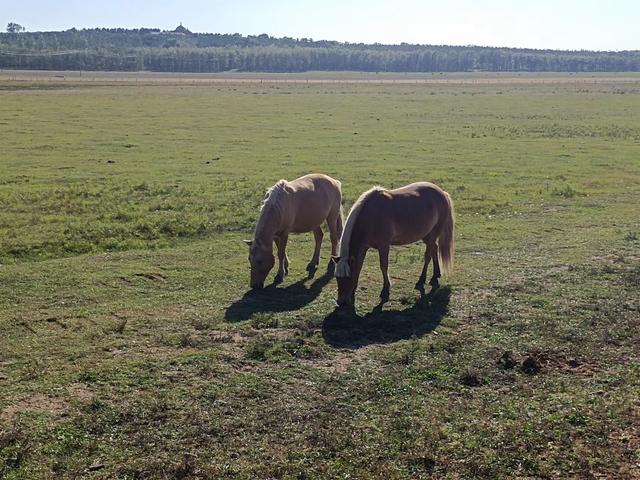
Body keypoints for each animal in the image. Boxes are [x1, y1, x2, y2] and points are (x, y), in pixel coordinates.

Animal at [332, 182, 452, 310]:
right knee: (434, 249)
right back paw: (435, 276)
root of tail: (442, 193)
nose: (341, 302)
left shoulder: (384, 245)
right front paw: (354, 290)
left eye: (348, 278)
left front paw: (385, 290)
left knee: (428, 255)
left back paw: (421, 280)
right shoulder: (364, 247)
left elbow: (383, 266)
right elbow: (359, 267)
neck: (371, 215)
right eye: (337, 278)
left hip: (433, 234)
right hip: (427, 235)